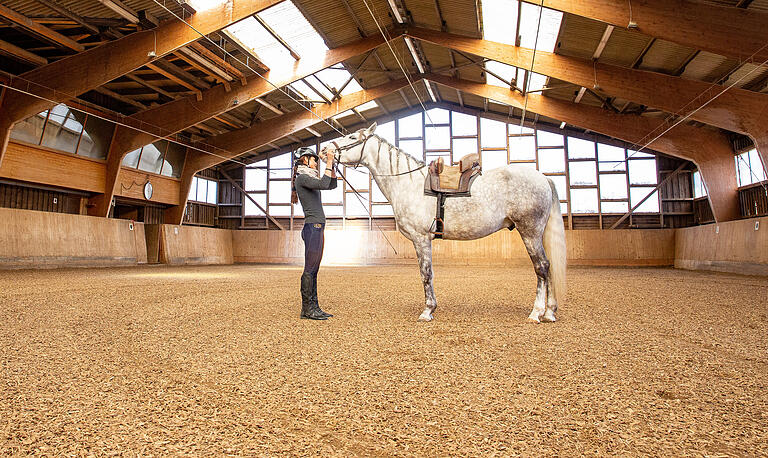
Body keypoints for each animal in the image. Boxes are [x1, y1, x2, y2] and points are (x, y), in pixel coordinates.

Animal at [320, 122, 568, 322]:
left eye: (352, 137)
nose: (324, 151)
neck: (408, 182)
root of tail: (543, 178)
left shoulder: (421, 238)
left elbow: (426, 273)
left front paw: (428, 310)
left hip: (530, 232)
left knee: (542, 267)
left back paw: (536, 313)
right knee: (548, 267)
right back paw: (550, 312)